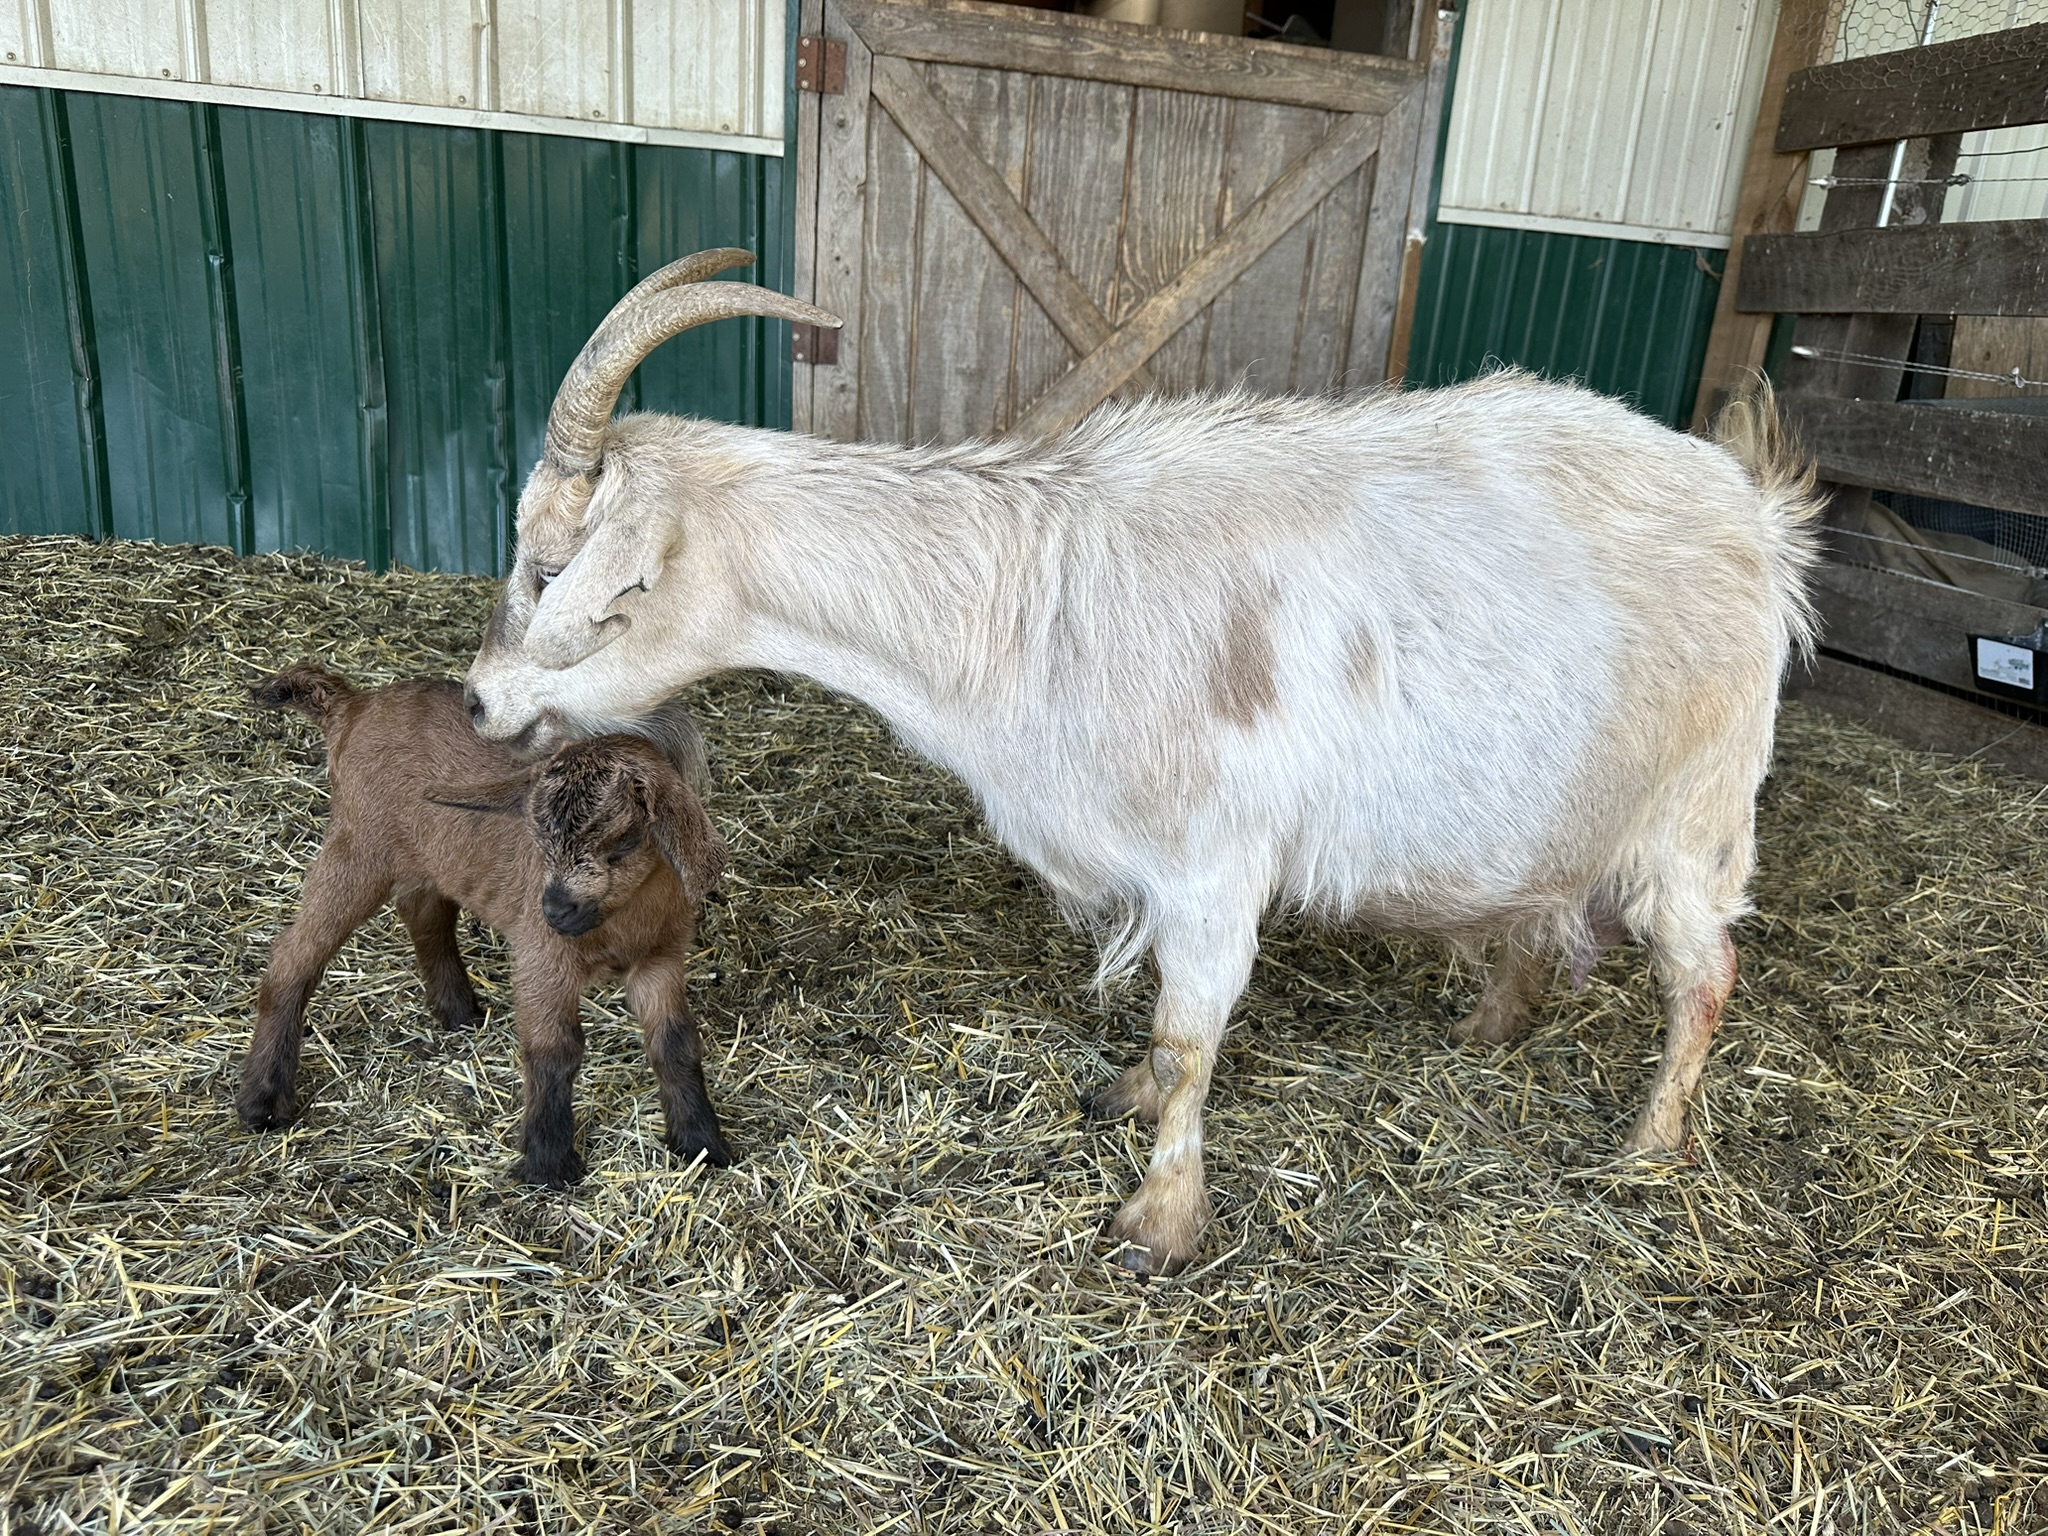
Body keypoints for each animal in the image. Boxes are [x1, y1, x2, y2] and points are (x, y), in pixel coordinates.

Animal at [237, 664, 730, 1185]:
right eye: (538, 840)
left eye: (624, 844)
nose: (555, 910)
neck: (621, 921)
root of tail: (355, 704)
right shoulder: (542, 956)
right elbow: (555, 1049)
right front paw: (549, 1163)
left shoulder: (660, 959)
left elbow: (675, 1042)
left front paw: (700, 1142)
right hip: (359, 845)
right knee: (294, 953)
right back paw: (263, 1100)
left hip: (426, 851)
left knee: (423, 909)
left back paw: (457, 1009)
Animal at [462, 249, 1822, 1274]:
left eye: (548, 566)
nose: (477, 700)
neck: (1024, 604)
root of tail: (1755, 511)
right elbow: (1164, 1040)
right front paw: (1120, 1103)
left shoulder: (1215, 863)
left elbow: (1188, 1037)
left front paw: (1157, 1222)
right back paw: (1489, 1025)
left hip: (1694, 817)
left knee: (1703, 974)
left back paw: (1648, 1144)